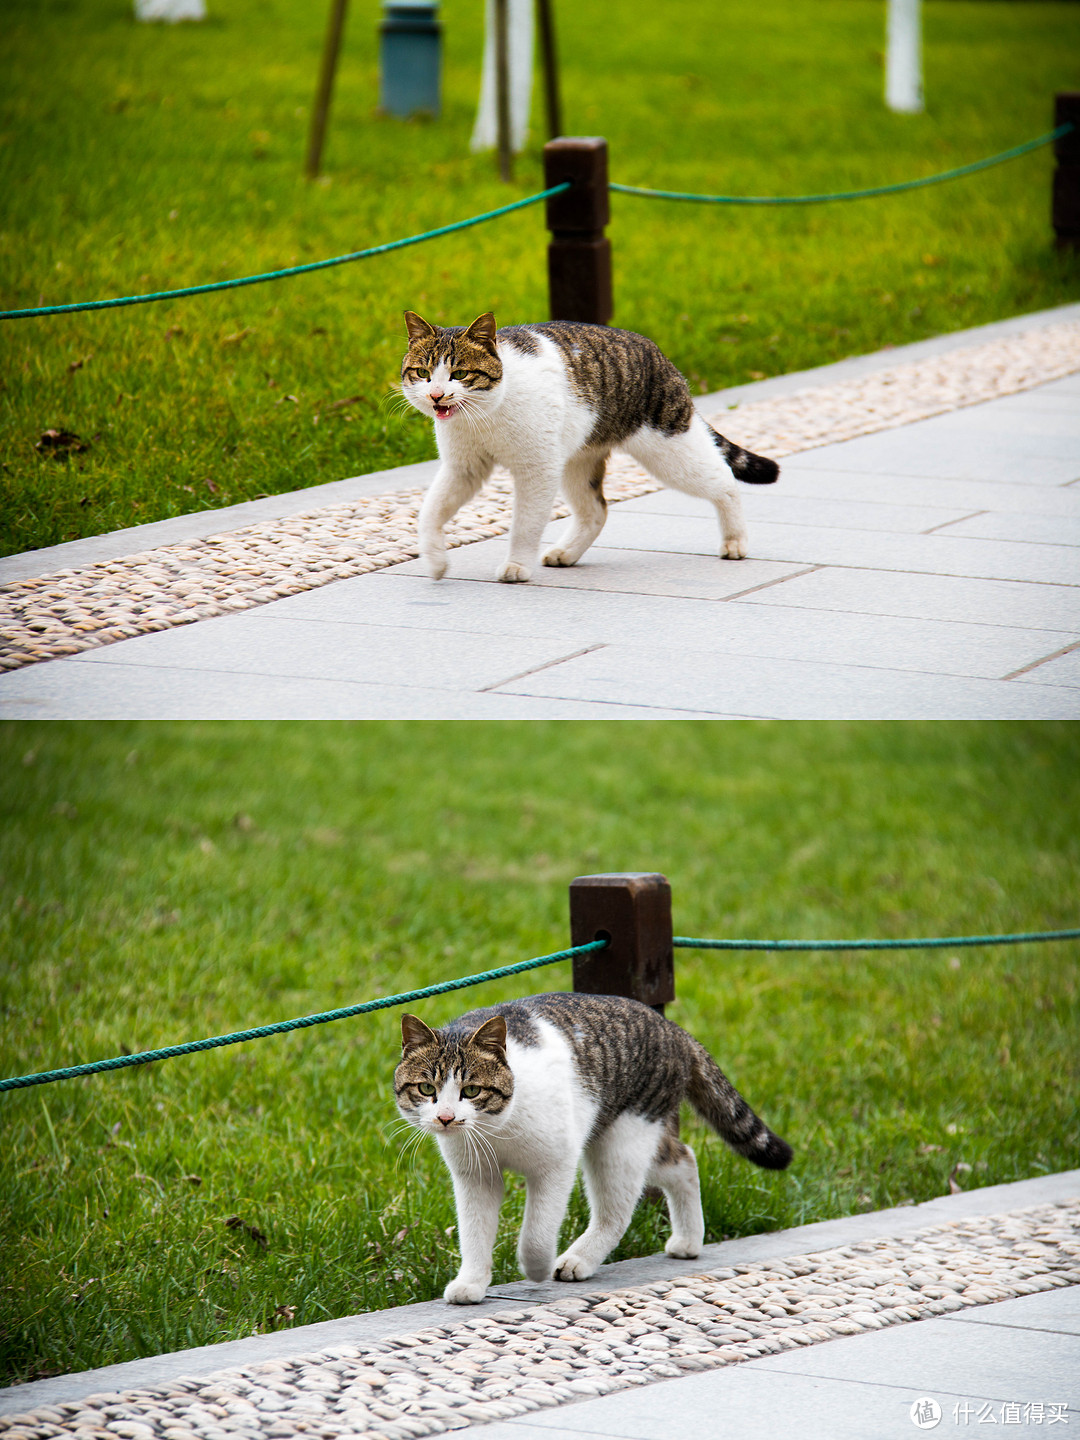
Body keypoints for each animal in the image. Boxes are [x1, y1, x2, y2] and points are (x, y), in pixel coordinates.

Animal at [394, 990, 789, 1307]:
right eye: (427, 1089)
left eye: (471, 1091)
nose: (445, 1118)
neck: (495, 1132)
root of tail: (671, 1027)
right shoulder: (474, 1177)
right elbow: (474, 1234)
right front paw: (472, 1282)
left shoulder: (556, 1165)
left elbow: (537, 1234)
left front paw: (536, 1268)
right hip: (627, 1138)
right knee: (683, 1159)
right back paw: (689, 1240)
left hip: (622, 1141)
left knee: (619, 1212)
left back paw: (579, 1259)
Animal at [397, 313, 777, 584]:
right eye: (422, 373)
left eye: (460, 374)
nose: (436, 395)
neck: (482, 418)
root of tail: (658, 353)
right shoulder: (463, 469)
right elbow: (429, 512)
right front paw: (436, 560)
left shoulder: (537, 470)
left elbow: (525, 524)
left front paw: (517, 565)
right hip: (577, 462)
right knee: (596, 510)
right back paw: (566, 552)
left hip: (670, 450)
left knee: (724, 480)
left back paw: (735, 541)